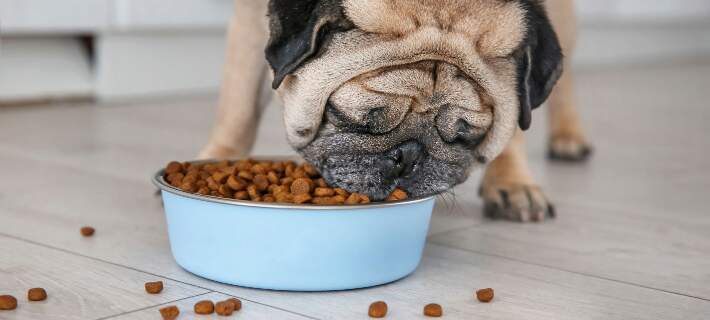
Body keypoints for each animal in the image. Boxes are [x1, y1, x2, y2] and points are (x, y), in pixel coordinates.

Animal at [197, 0, 592, 221]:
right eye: (351, 117)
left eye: (465, 135)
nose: (410, 155)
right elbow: (239, 107)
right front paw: (218, 158)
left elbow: (515, 115)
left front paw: (512, 183)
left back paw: (568, 137)